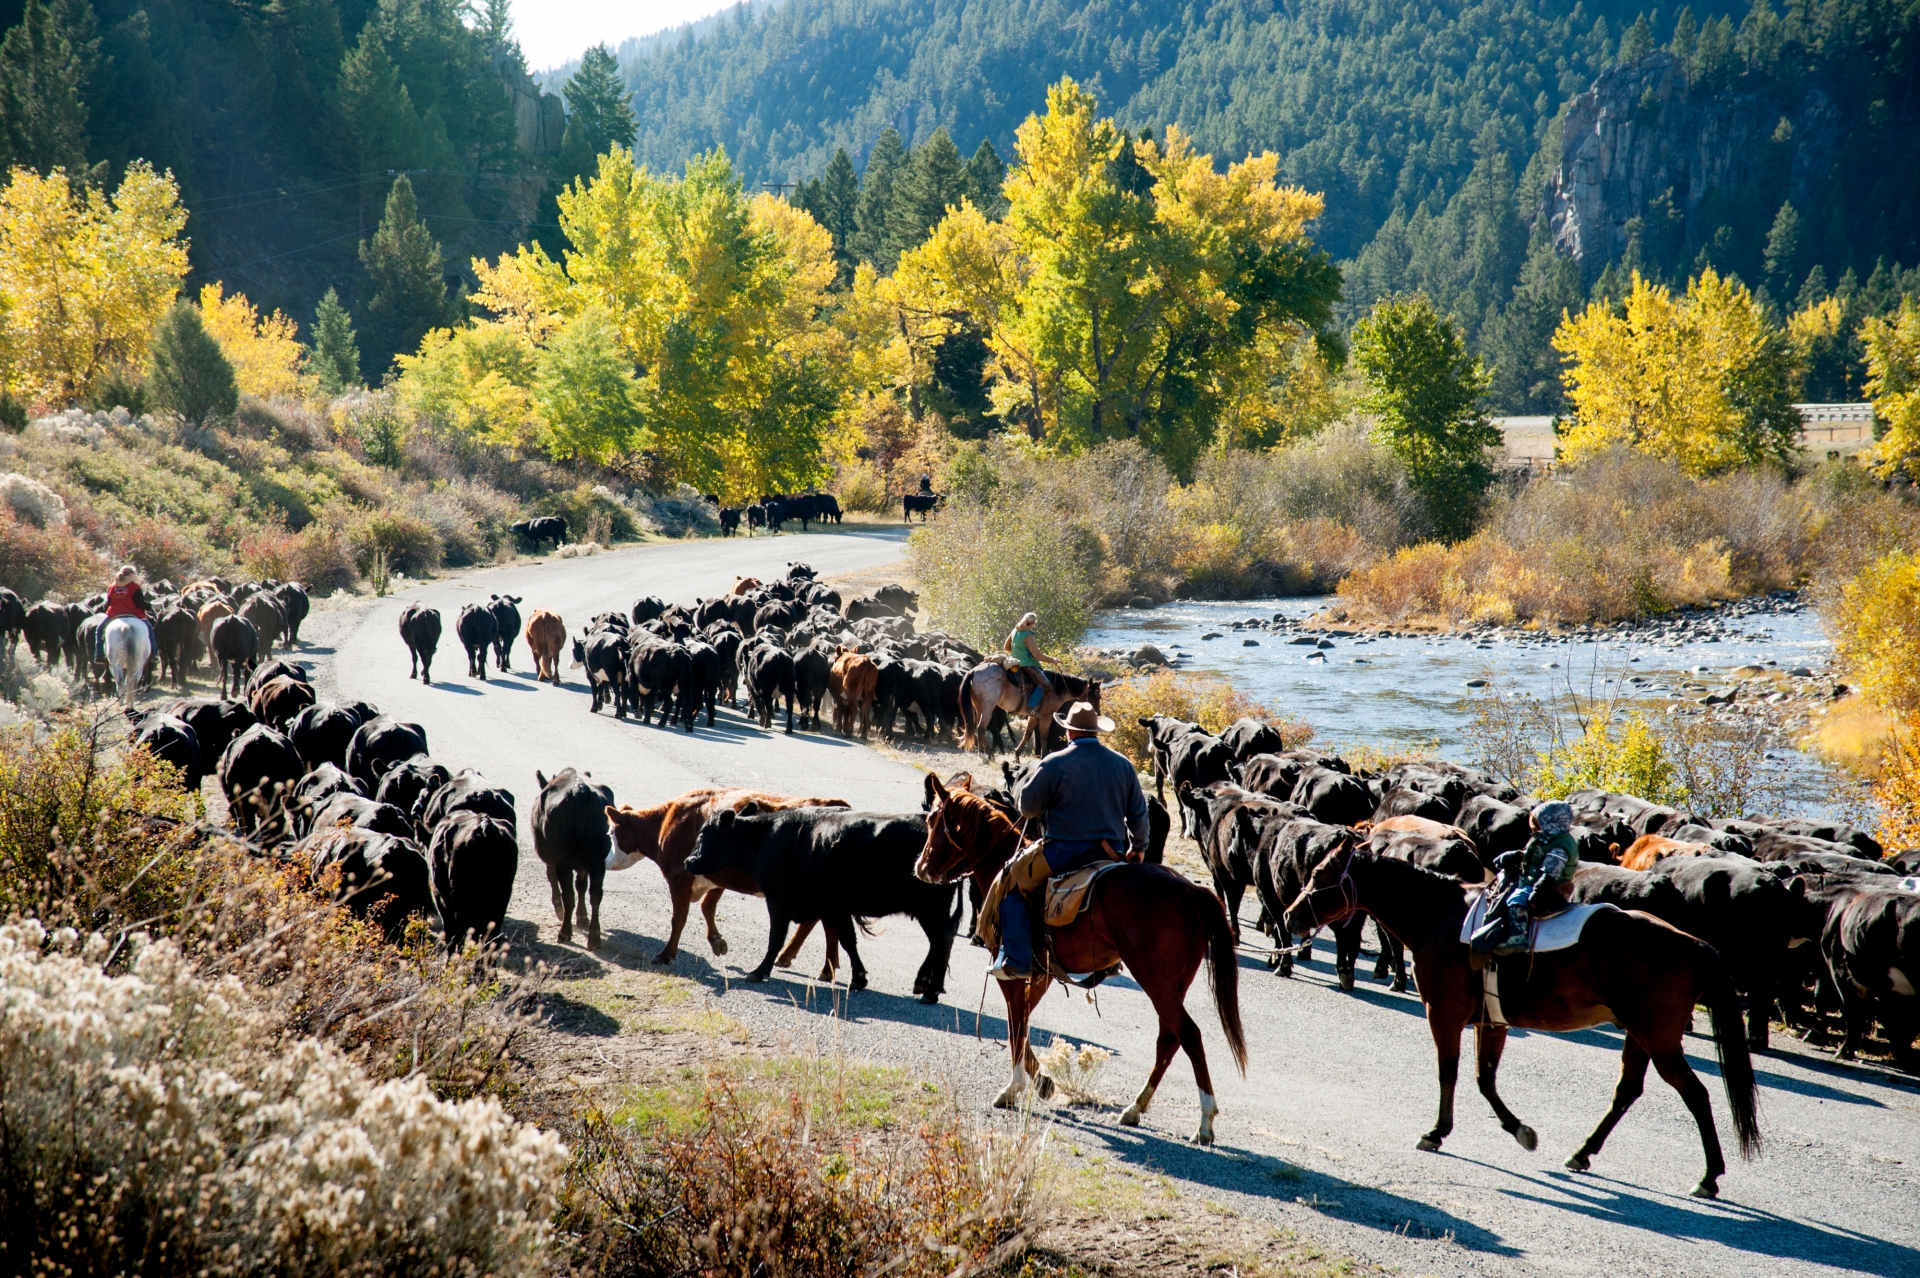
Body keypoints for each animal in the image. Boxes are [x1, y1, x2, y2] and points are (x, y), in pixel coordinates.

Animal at [533, 768, 615, 949]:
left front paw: (559, 909)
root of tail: (580, 790)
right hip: (598, 859)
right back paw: (594, 937)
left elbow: (553, 878)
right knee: (595, 894)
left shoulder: (551, 858)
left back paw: (564, 933)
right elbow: (582, 885)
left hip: (563, 859)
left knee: (568, 894)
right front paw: (582, 917)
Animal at [605, 788, 852, 963]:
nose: (606, 862)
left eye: (611, 832)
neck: (668, 822)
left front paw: (666, 955)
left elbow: (679, 917)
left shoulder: (679, 877)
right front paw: (717, 942)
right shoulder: (716, 876)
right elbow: (707, 906)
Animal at [687, 807, 961, 1001]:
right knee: (941, 942)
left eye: (703, 834)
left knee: (941, 942)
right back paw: (928, 985)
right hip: (932, 910)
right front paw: (858, 978)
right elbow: (847, 940)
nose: (689, 861)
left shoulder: (779, 901)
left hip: (930, 908)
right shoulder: (835, 907)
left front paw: (759, 971)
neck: (767, 838)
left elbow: (776, 938)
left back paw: (930, 990)